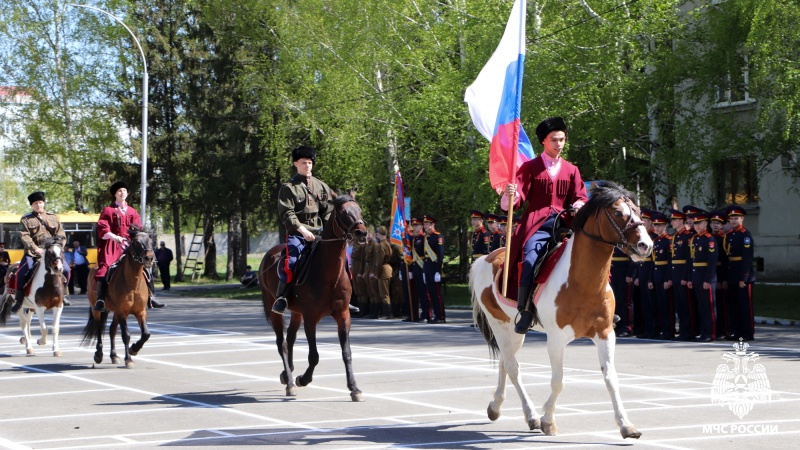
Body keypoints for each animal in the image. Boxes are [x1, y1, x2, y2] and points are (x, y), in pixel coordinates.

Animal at [81, 227, 155, 368]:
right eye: (136, 242)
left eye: (151, 241)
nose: (149, 258)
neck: (133, 284)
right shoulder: (122, 312)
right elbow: (126, 335)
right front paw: (129, 359)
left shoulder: (140, 311)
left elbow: (146, 334)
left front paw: (134, 349)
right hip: (98, 309)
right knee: (100, 328)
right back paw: (98, 354)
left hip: (113, 310)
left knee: (112, 330)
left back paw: (114, 356)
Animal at [258, 193, 368, 400]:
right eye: (343, 212)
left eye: (359, 210)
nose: (362, 234)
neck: (329, 273)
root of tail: (269, 255)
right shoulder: (311, 317)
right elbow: (314, 355)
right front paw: (303, 379)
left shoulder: (343, 315)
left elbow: (347, 353)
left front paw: (354, 388)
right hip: (274, 309)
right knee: (282, 343)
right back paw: (290, 382)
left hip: (296, 312)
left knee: (290, 338)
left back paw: (287, 373)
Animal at [472, 180, 652, 440]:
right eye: (618, 213)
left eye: (638, 211)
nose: (645, 246)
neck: (583, 281)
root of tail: (486, 258)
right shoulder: (556, 339)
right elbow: (558, 381)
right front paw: (548, 420)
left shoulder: (605, 333)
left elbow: (611, 378)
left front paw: (626, 425)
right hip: (501, 326)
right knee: (513, 367)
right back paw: (531, 415)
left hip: (514, 333)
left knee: (506, 362)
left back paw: (498, 407)